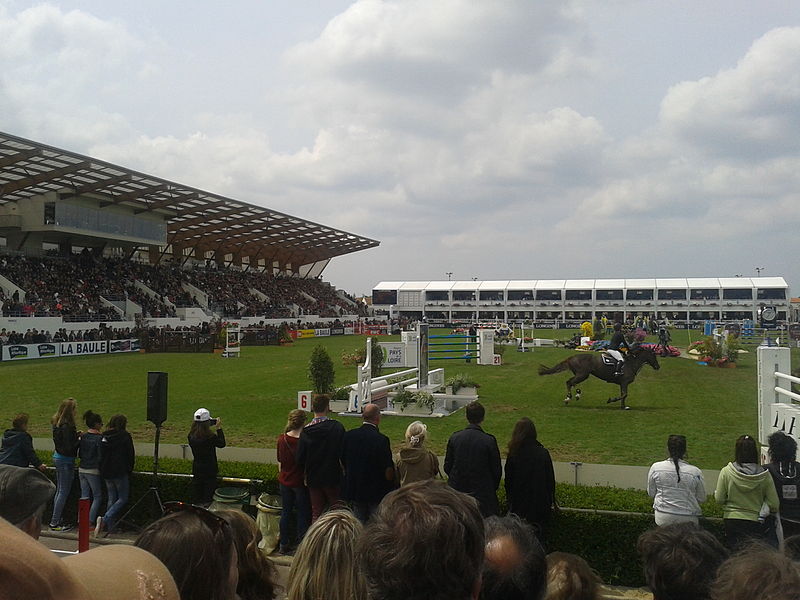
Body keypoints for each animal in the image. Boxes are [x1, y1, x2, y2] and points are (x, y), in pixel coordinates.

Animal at [536, 344, 664, 410]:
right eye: (653, 355)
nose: (658, 366)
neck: (631, 362)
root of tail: (571, 357)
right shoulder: (624, 382)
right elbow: (624, 394)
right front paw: (611, 400)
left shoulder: (622, 384)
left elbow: (624, 395)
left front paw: (623, 406)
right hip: (582, 375)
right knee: (569, 382)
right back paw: (569, 398)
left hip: (581, 375)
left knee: (572, 383)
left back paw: (577, 394)